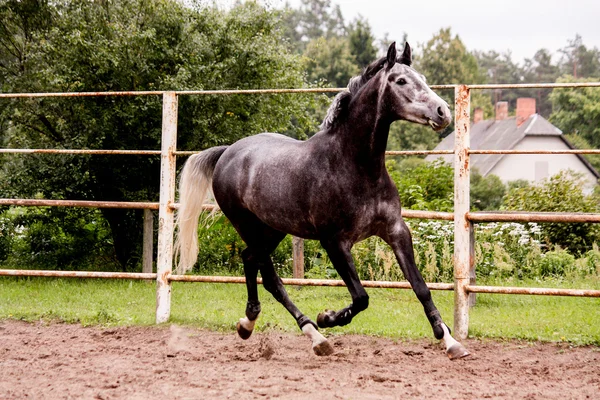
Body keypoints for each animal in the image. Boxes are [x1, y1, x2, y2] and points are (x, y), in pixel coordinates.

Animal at [176, 43, 472, 360]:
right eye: (401, 81)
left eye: (423, 78)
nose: (442, 112)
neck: (355, 166)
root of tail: (228, 152)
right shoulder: (334, 241)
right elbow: (361, 297)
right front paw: (327, 317)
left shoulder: (395, 230)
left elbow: (420, 288)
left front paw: (450, 341)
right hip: (247, 226)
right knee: (270, 278)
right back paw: (314, 335)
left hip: (273, 229)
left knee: (249, 260)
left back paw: (248, 323)